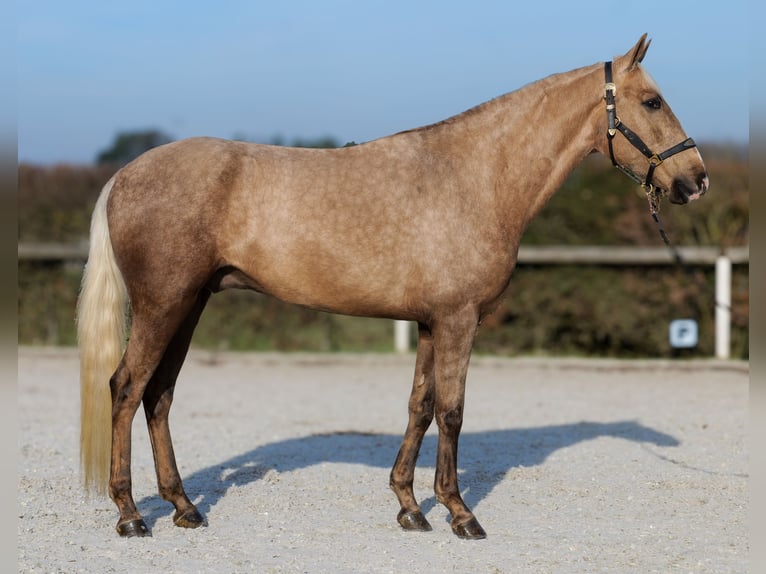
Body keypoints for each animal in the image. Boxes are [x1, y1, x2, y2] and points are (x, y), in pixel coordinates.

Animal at [77, 34, 708, 539]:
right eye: (652, 101)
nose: (695, 180)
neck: (475, 176)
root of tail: (126, 175)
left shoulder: (431, 321)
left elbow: (419, 406)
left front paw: (410, 506)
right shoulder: (458, 319)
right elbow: (452, 410)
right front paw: (460, 513)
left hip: (189, 305)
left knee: (159, 396)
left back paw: (184, 507)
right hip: (163, 305)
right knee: (127, 388)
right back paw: (131, 516)